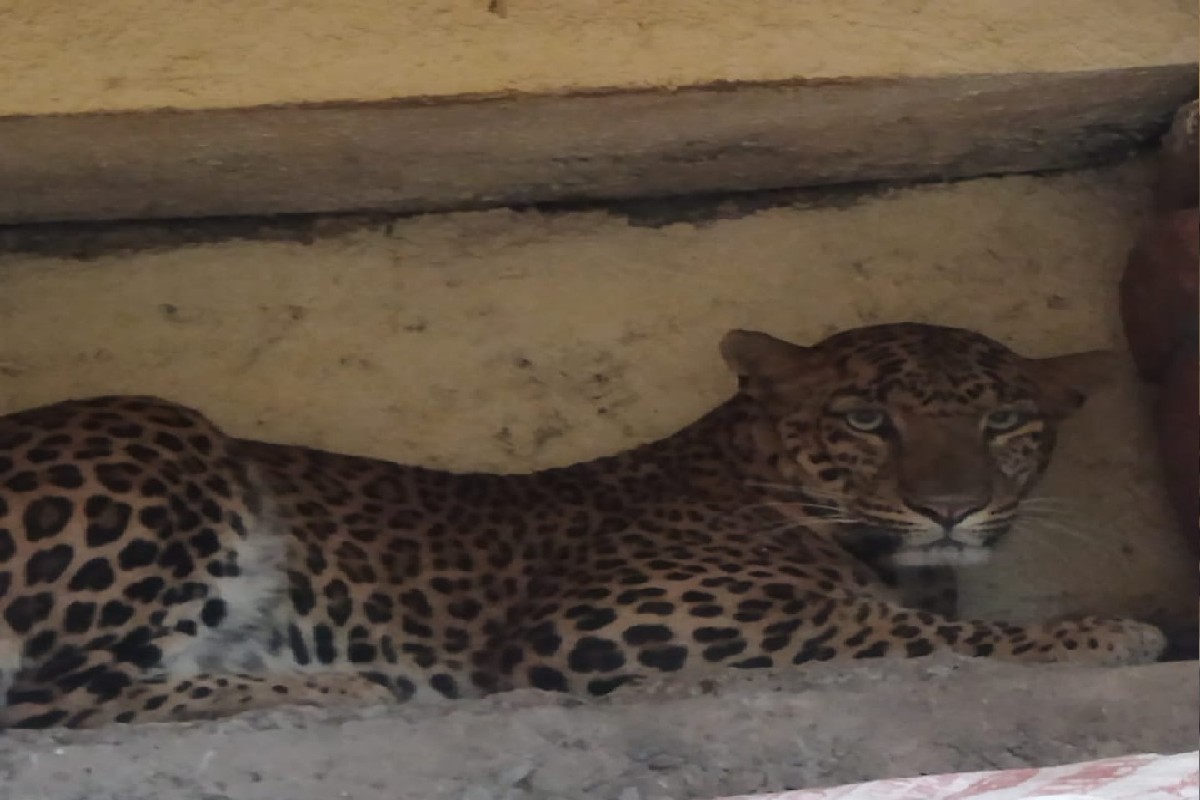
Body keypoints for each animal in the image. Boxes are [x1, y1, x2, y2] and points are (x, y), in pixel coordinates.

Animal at [0, 322, 1167, 729]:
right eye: (867, 417)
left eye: (1004, 421)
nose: (949, 505)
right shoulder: (612, 623)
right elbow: (902, 632)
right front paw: (1100, 631)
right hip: (156, 429)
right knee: (58, 699)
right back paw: (329, 686)